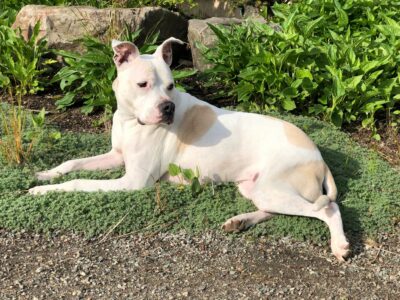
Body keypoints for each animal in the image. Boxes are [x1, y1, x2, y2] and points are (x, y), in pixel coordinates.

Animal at [30, 38, 350, 260]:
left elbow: (78, 182)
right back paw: (240, 221)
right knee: (280, 209)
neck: (131, 120)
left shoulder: (133, 181)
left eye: (171, 86)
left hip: (274, 187)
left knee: (327, 208)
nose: (167, 108)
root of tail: (320, 159)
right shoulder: (116, 157)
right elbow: (73, 164)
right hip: (257, 188)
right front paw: (46, 175)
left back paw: (339, 245)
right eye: (143, 84)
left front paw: (43, 191)